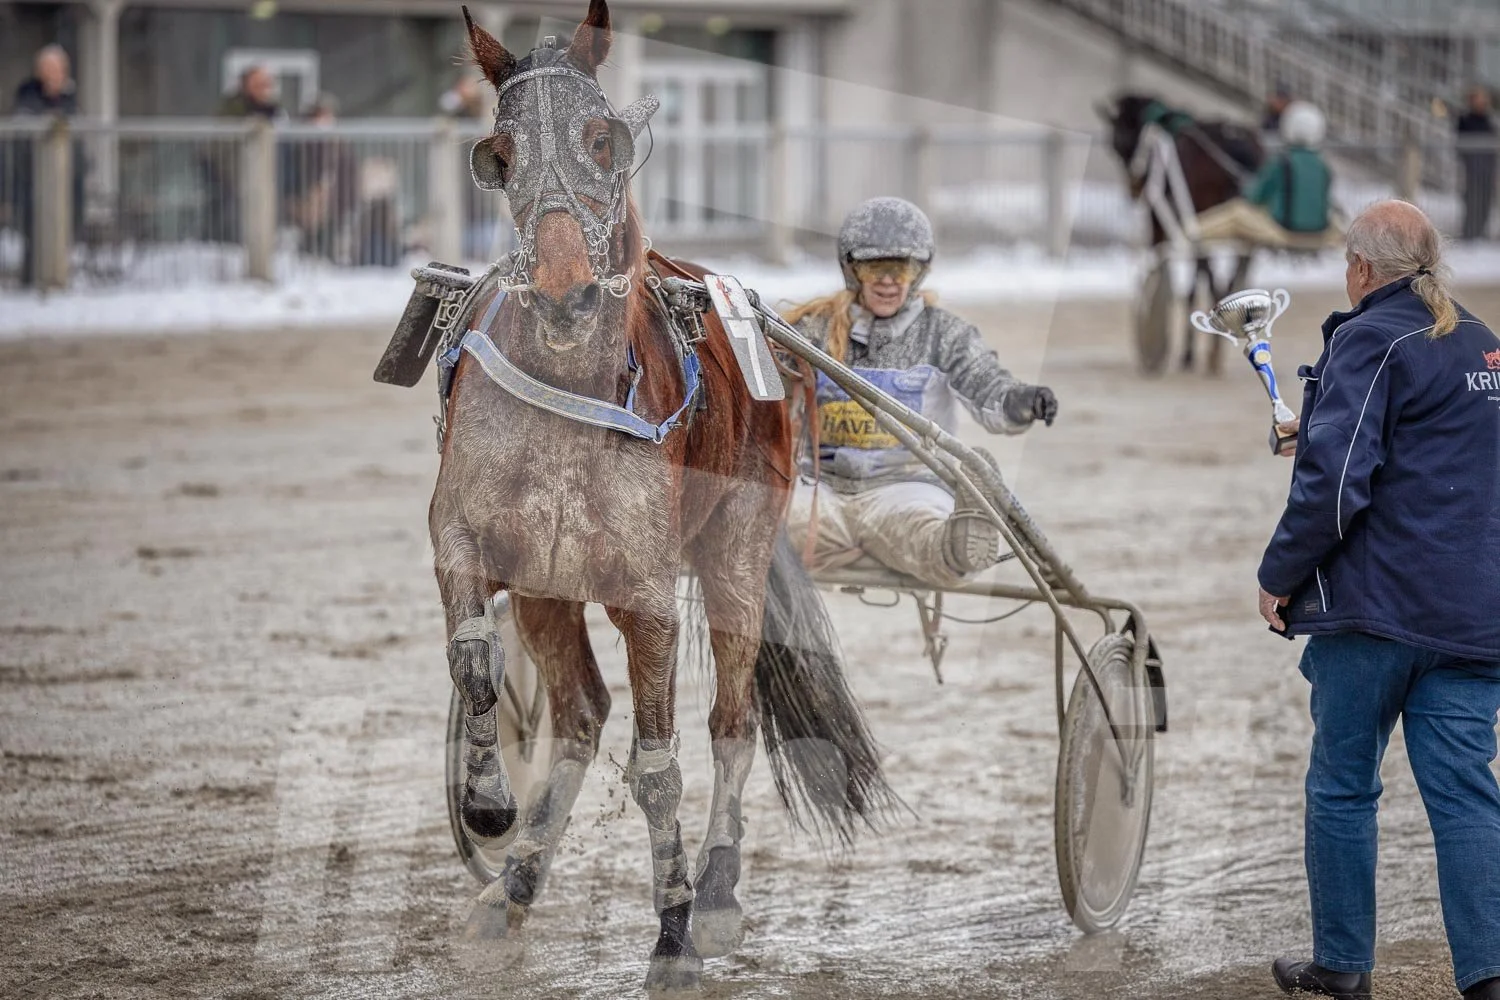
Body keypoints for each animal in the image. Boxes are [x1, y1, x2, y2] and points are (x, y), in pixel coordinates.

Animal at [431, 2, 897, 990]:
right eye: (500, 152)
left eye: (602, 139)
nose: (565, 294)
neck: (569, 391)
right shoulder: (467, 539)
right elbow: (475, 659)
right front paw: (488, 804)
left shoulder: (646, 595)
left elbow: (658, 766)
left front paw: (674, 934)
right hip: (551, 592)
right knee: (578, 717)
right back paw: (514, 885)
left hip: (736, 554)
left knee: (730, 722)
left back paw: (716, 891)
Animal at [1097, 94, 1265, 373]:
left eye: (1118, 143)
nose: (1135, 189)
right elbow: (1195, 281)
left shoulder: (1161, 221)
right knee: (1232, 271)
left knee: (1216, 276)